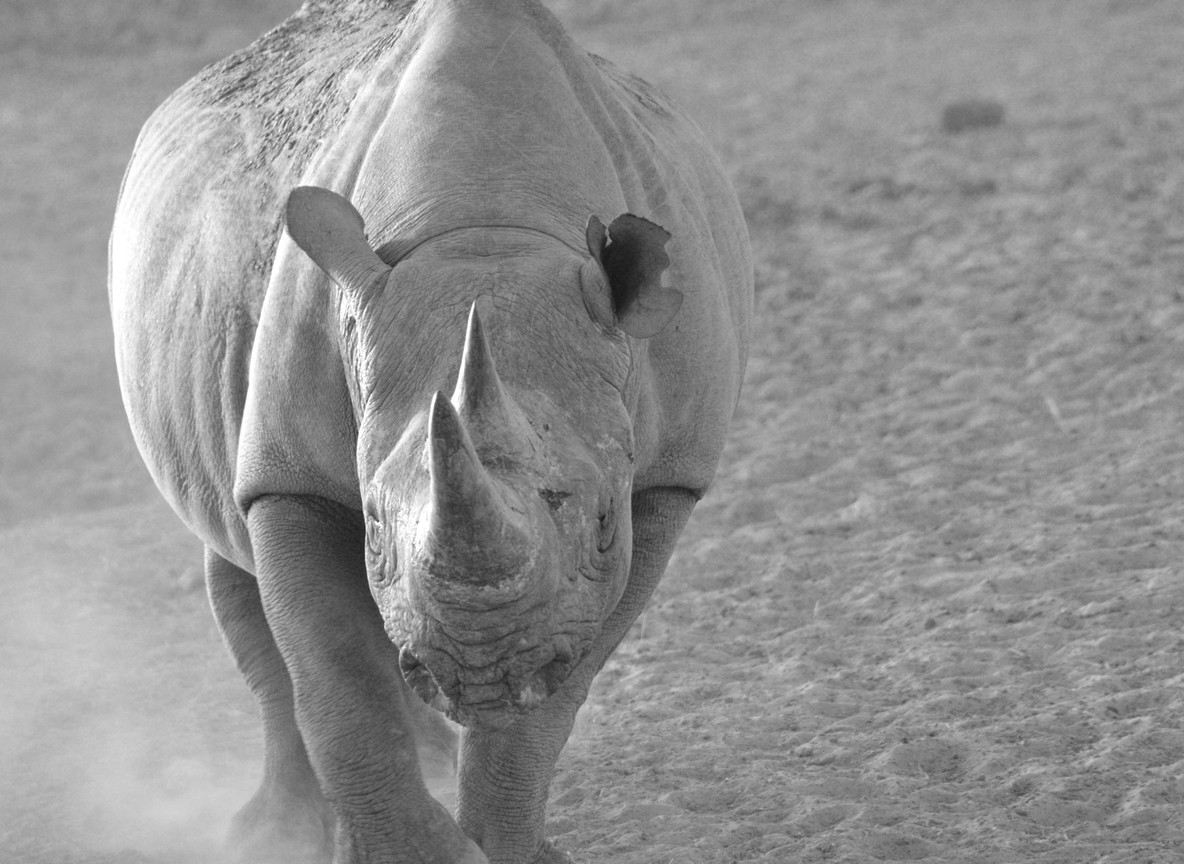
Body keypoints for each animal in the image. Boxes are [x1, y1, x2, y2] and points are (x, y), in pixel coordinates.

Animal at [108, 0, 751, 862]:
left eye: (604, 526)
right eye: (375, 526)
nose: (478, 671)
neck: (489, 225)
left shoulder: (667, 479)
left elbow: (558, 691)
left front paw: (506, 842)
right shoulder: (289, 476)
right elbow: (337, 671)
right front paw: (417, 853)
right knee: (249, 586)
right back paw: (274, 832)